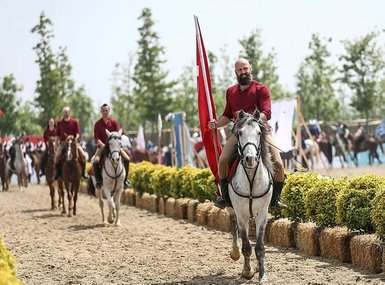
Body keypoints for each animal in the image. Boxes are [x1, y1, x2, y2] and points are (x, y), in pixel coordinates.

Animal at [226, 109, 274, 282]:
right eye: (239, 133)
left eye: (259, 132)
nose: (250, 159)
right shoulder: (242, 215)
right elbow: (246, 245)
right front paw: (247, 271)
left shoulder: (262, 214)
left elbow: (259, 247)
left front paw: (262, 274)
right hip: (232, 209)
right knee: (233, 224)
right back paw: (235, 252)